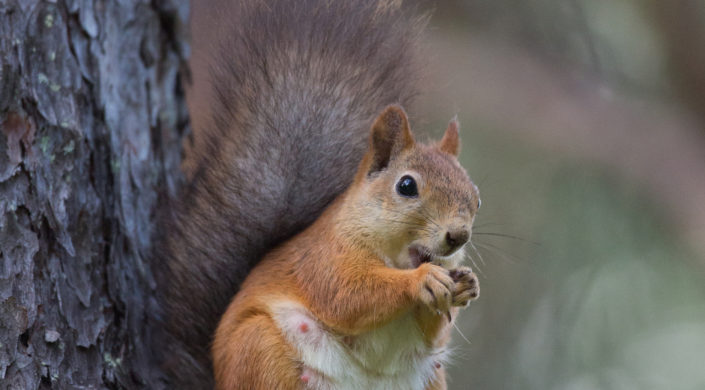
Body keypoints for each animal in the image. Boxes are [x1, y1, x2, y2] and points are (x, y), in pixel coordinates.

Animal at [213, 105, 478, 388]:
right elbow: (347, 294)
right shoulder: (325, 258)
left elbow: (431, 336)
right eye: (406, 186)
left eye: (477, 197)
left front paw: (466, 284)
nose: (459, 235)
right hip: (258, 347)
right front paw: (422, 279)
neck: (397, 262)